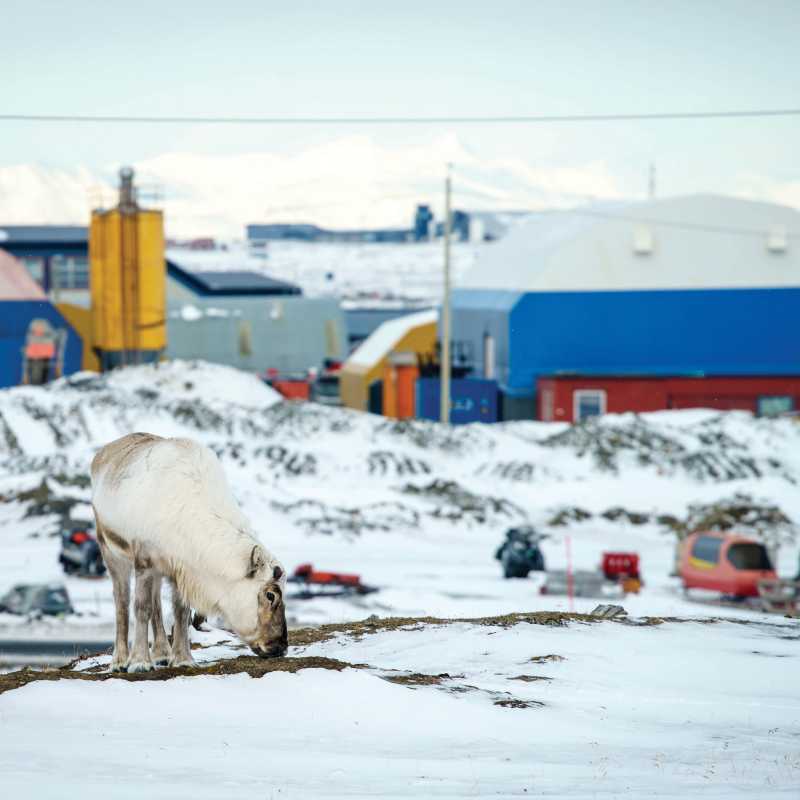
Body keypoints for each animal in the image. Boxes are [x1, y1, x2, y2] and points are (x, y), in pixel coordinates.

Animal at [91, 432, 287, 673]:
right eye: (270, 595)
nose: (281, 646)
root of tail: (103, 453)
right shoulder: (144, 560)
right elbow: (141, 609)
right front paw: (139, 662)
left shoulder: (181, 569)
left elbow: (181, 612)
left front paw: (183, 659)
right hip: (111, 551)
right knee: (122, 603)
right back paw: (119, 661)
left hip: (158, 569)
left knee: (156, 603)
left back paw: (162, 654)